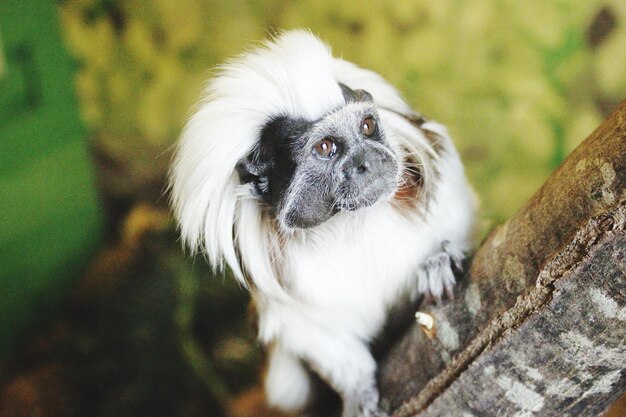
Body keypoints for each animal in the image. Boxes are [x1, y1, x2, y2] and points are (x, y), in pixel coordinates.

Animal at [168, 30, 476, 416]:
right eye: (327, 147)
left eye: (367, 127)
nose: (367, 160)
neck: (351, 224)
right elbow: (318, 338)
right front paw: (358, 393)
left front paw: (440, 258)